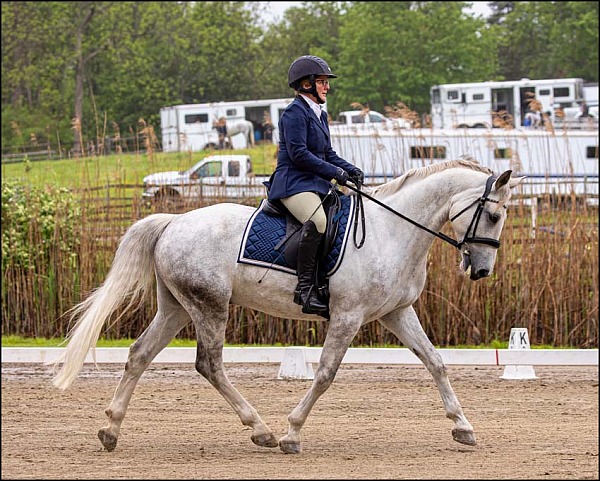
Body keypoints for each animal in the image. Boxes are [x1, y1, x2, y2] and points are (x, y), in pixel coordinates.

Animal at [50, 158, 520, 454]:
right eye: (495, 216)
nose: (481, 271)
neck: (392, 230)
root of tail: (172, 221)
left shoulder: (396, 312)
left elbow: (435, 361)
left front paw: (463, 427)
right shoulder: (348, 316)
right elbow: (326, 374)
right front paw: (293, 433)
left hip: (177, 308)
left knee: (139, 355)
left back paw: (110, 429)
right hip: (209, 306)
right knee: (209, 364)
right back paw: (262, 431)